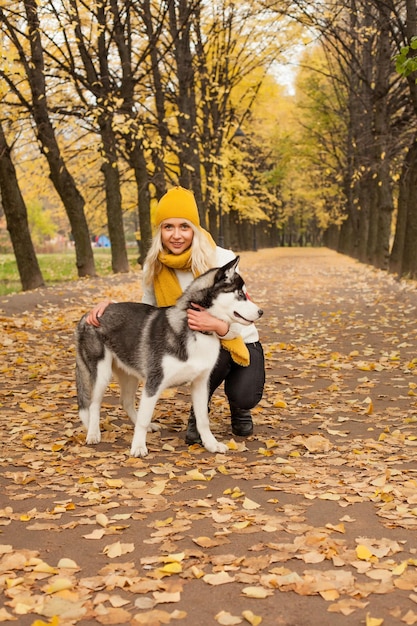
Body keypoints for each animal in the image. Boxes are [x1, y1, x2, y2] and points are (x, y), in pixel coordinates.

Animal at [75, 256, 262, 456]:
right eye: (241, 294)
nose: (261, 312)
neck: (196, 330)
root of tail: (86, 315)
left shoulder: (201, 383)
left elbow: (203, 419)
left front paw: (211, 444)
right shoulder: (154, 383)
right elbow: (143, 419)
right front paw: (138, 446)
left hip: (130, 373)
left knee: (125, 401)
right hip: (101, 374)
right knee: (93, 404)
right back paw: (93, 433)